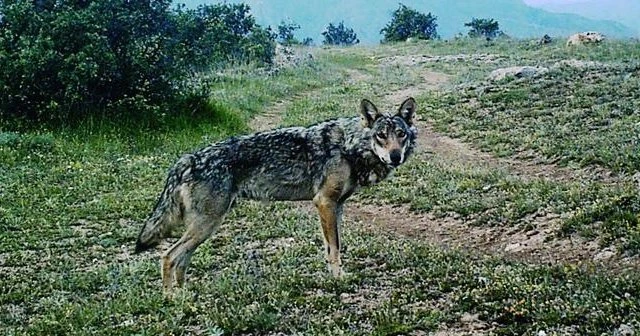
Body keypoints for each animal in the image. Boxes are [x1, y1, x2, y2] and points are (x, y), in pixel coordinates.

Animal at [132, 96, 418, 292]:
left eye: (400, 134)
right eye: (381, 136)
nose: (395, 156)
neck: (350, 146)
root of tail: (187, 159)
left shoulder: (336, 207)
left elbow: (330, 248)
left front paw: (333, 276)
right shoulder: (324, 203)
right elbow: (335, 248)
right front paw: (339, 280)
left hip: (204, 228)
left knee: (181, 260)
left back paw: (187, 296)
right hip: (206, 225)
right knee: (168, 257)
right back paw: (173, 301)